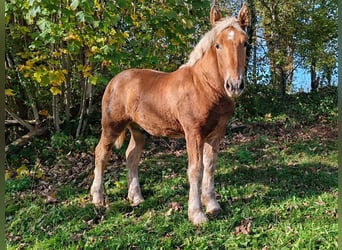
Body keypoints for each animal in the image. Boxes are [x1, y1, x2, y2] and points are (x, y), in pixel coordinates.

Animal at [91, 3, 250, 227]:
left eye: (245, 43)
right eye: (218, 45)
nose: (234, 85)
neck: (204, 86)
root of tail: (115, 80)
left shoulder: (217, 132)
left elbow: (210, 166)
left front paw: (213, 206)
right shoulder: (193, 133)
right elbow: (196, 169)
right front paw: (197, 214)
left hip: (138, 130)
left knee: (131, 157)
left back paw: (136, 198)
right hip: (112, 125)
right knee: (101, 154)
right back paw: (98, 198)